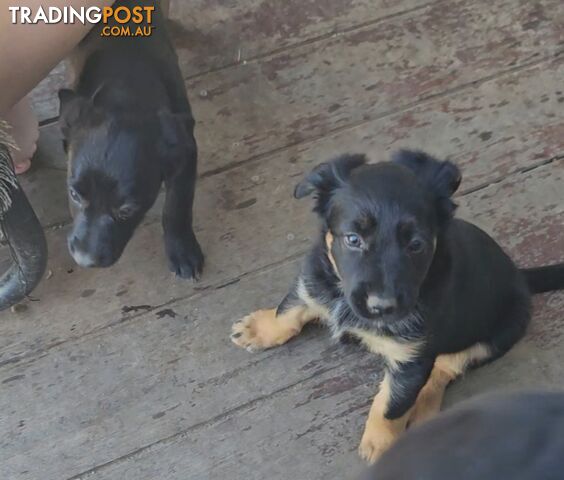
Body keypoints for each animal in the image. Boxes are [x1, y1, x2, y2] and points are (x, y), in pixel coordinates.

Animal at [57, 0, 202, 280]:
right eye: (74, 194)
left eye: (126, 210)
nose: (84, 260)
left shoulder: (185, 148)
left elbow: (177, 205)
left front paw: (182, 250)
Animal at [230, 152, 564, 464]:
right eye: (353, 239)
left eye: (416, 245)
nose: (382, 306)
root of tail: (520, 276)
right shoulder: (314, 280)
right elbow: (289, 308)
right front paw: (261, 328)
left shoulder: (411, 359)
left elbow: (391, 404)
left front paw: (382, 442)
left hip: (497, 334)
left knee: (445, 368)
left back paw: (424, 408)